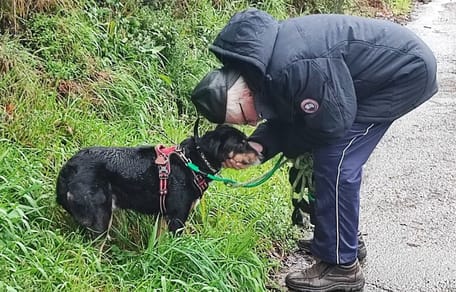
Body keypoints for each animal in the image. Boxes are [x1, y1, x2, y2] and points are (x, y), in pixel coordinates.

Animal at [56, 124, 260, 234]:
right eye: (242, 143)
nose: (261, 154)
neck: (193, 161)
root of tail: (68, 168)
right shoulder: (177, 218)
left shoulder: (164, 218)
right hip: (100, 218)